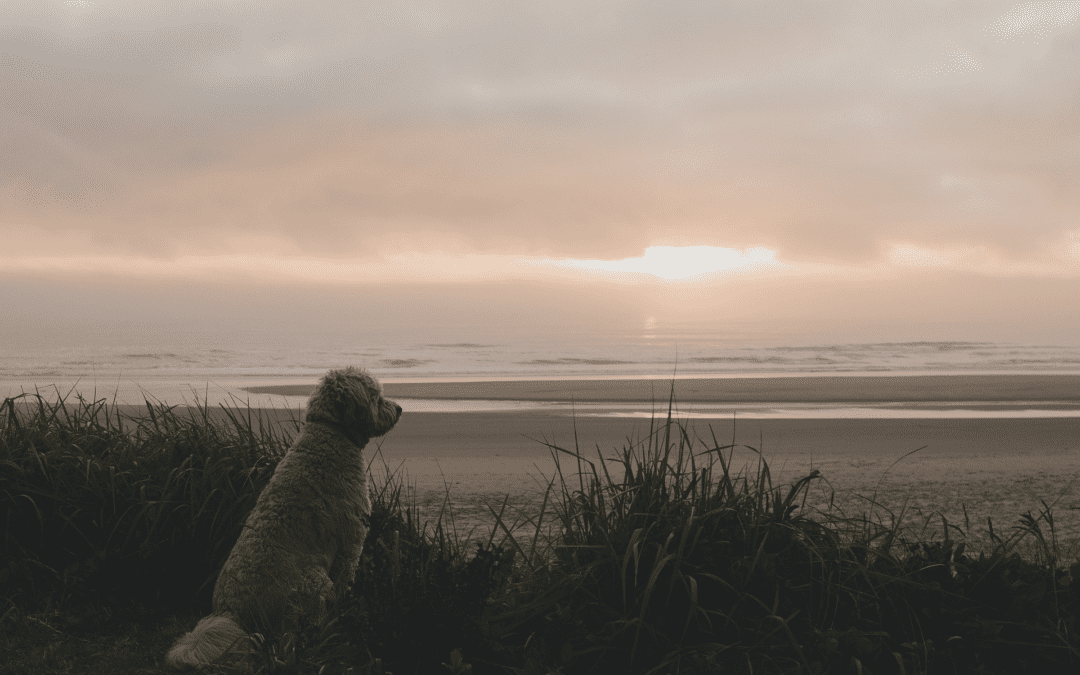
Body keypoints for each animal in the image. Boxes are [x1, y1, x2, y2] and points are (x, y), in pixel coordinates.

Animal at [166, 369, 403, 669]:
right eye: (376, 397)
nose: (399, 409)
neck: (331, 431)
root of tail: (232, 613)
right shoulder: (350, 544)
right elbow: (344, 584)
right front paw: (341, 615)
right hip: (311, 582)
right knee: (292, 639)